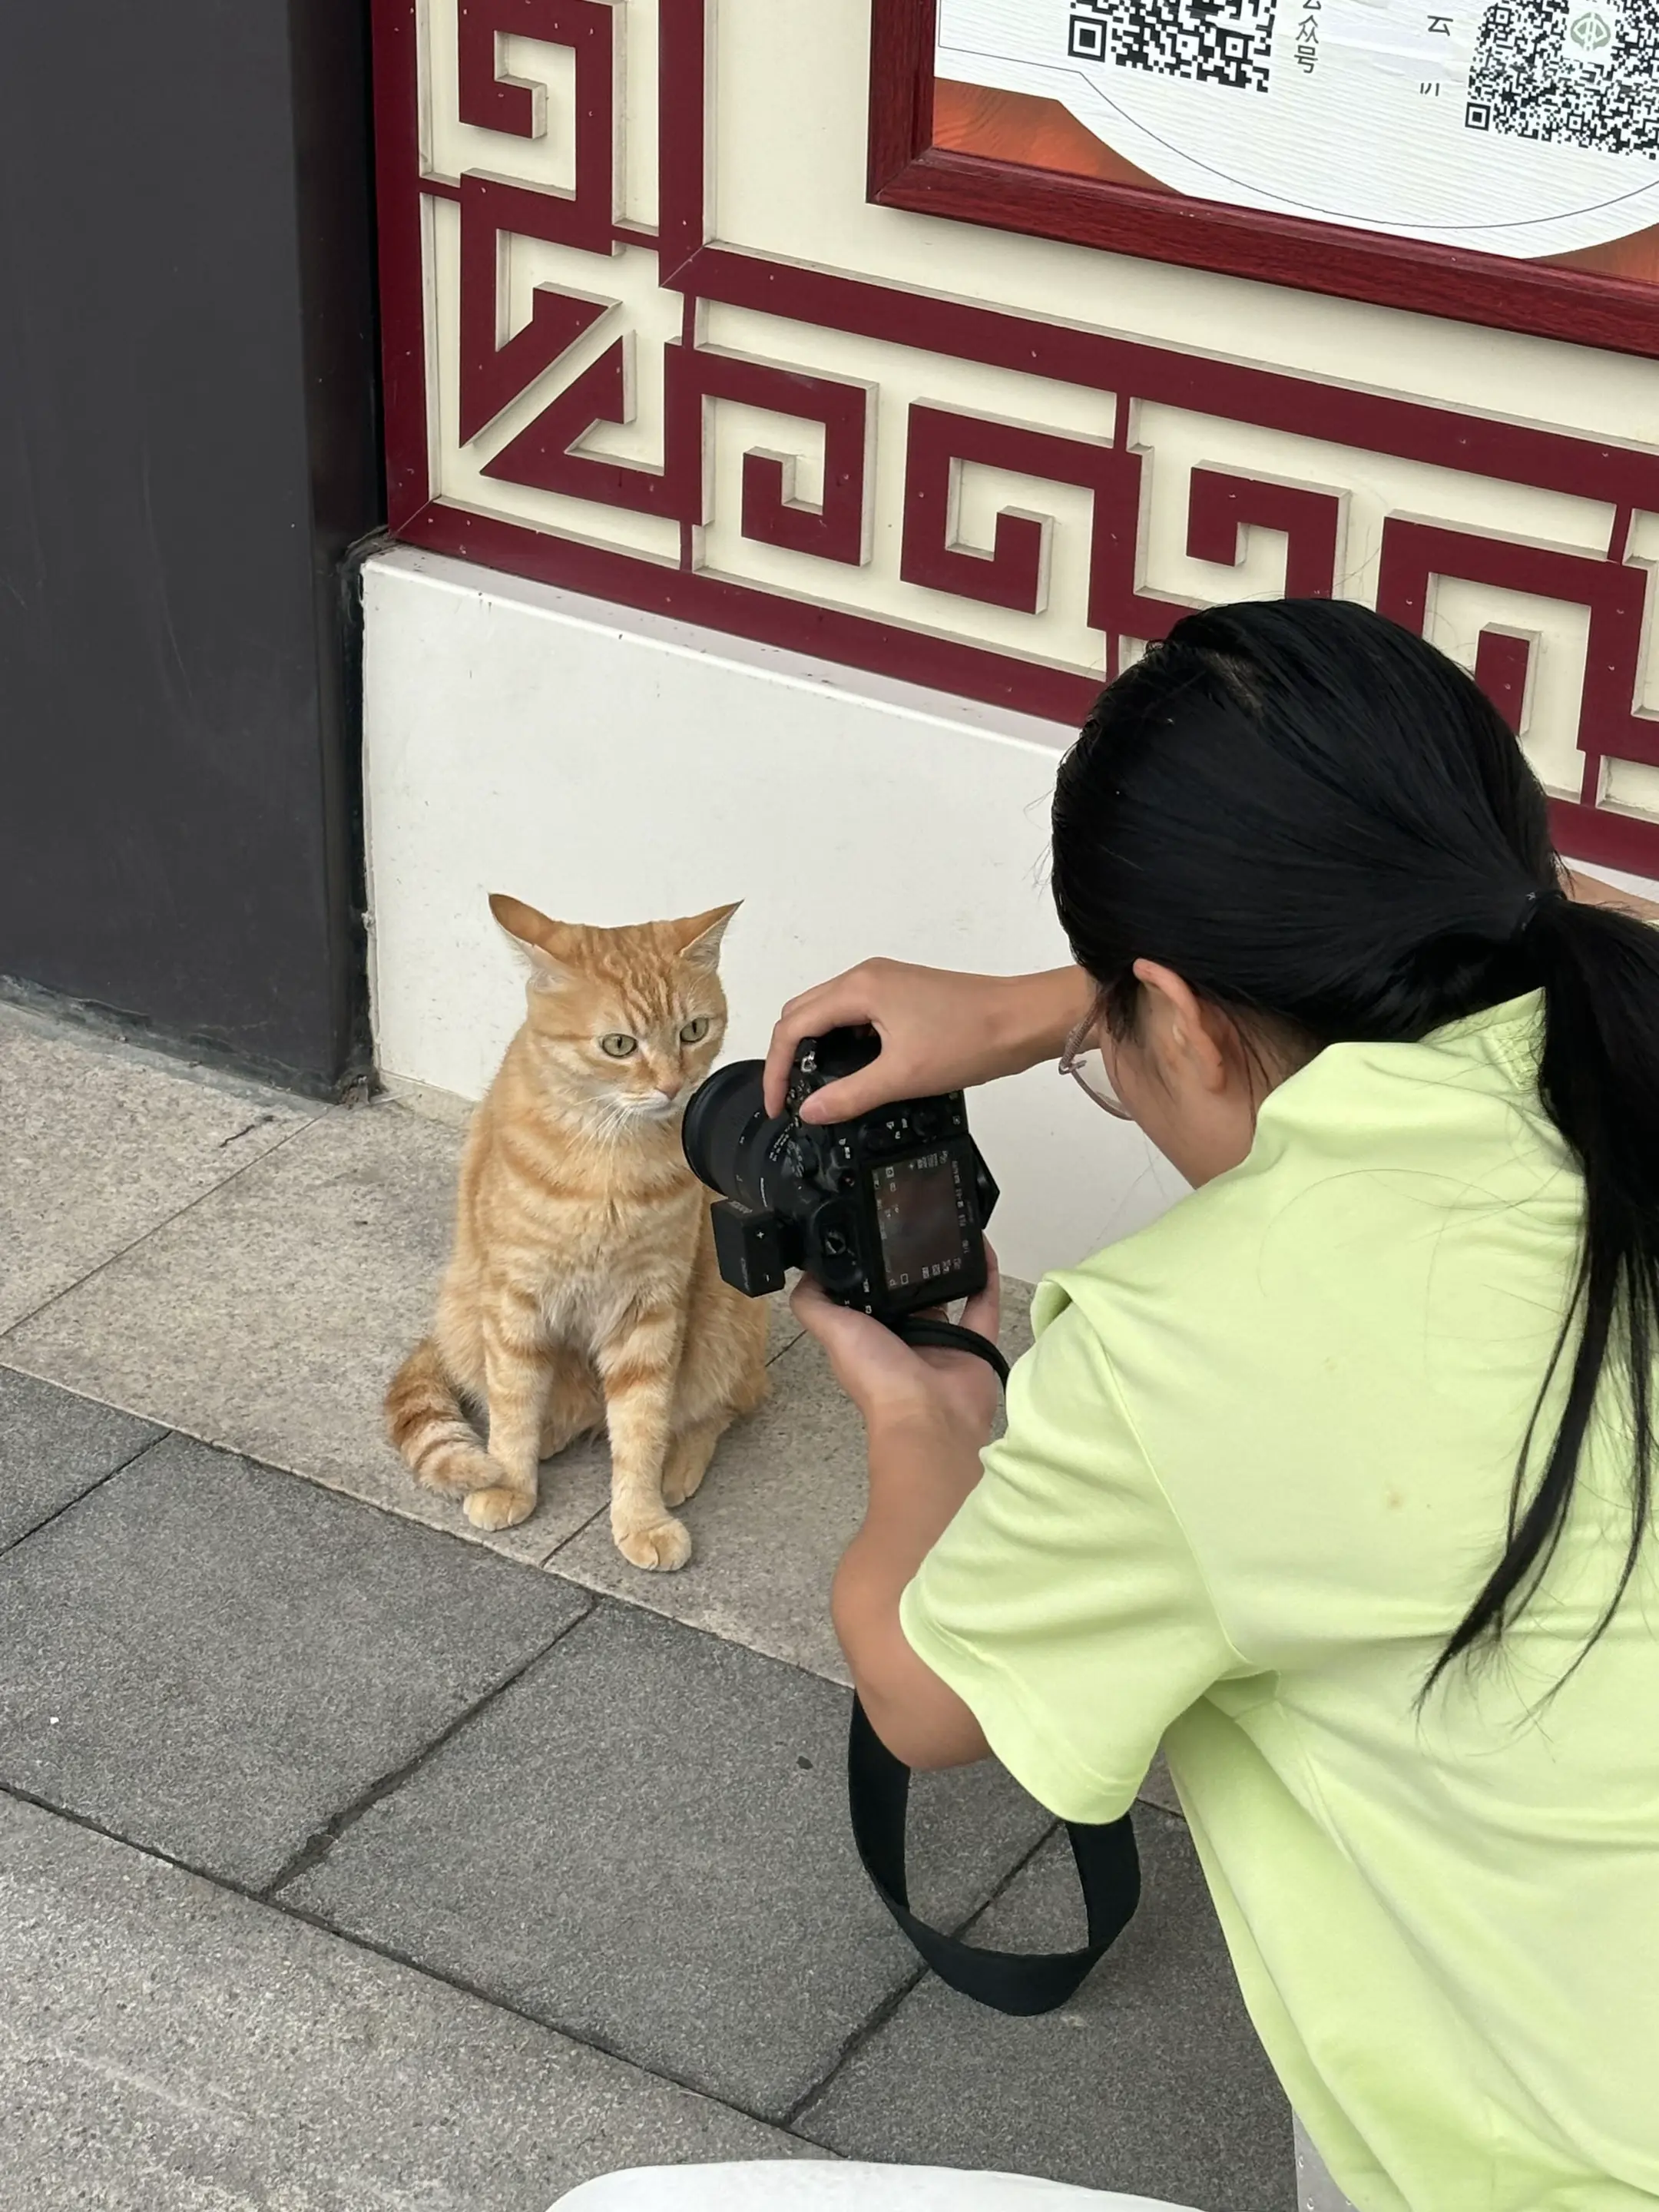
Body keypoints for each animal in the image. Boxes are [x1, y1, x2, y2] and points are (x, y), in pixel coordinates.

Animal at [384, 893, 770, 1570]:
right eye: (619, 1045)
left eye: (693, 1031)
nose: (672, 1086)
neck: (609, 1158)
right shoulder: (515, 1300)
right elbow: (513, 1402)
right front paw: (510, 1478)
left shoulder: (651, 1308)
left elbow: (642, 1424)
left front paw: (641, 1514)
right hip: (466, 1306)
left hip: (726, 1312)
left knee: (717, 1407)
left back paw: (677, 1466)